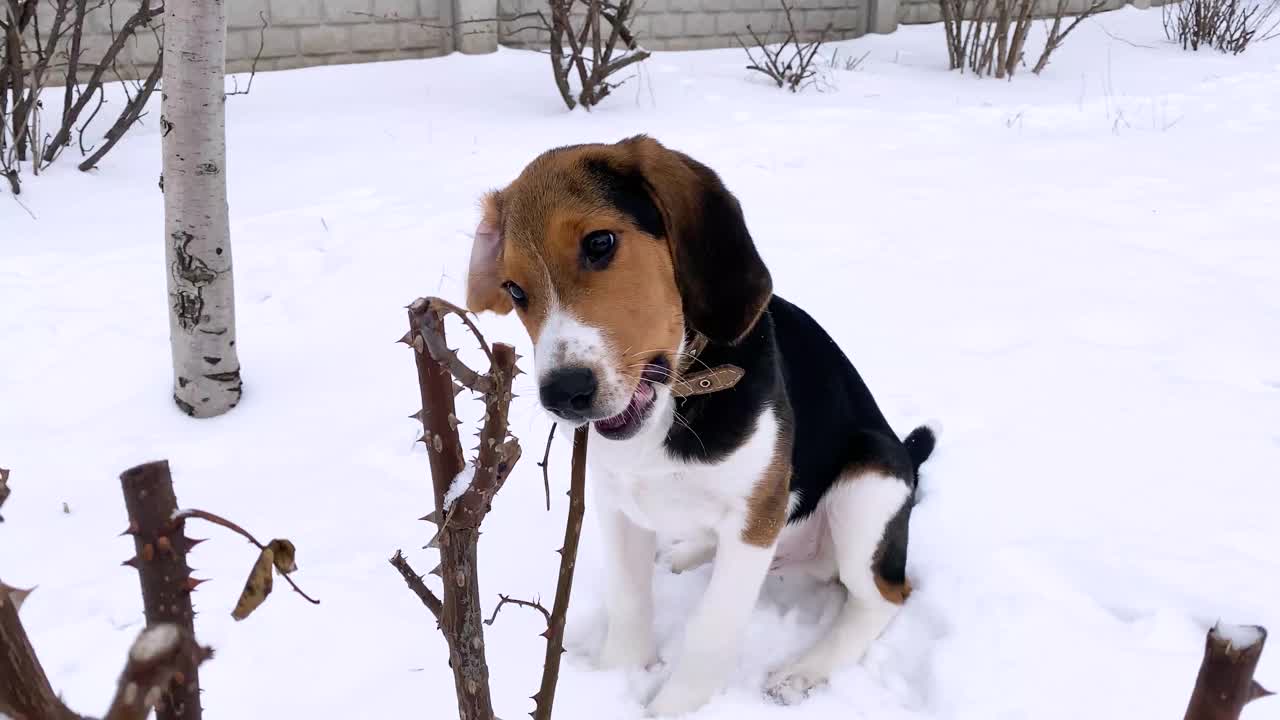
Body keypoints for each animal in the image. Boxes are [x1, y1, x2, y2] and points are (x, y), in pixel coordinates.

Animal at [465, 134, 936, 712]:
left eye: (600, 243)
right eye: (513, 290)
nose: (563, 395)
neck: (675, 404)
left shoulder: (759, 511)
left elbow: (713, 627)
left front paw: (673, 709)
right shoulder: (615, 502)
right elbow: (629, 600)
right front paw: (616, 679)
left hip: (869, 481)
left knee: (883, 597)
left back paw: (803, 671)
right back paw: (692, 552)